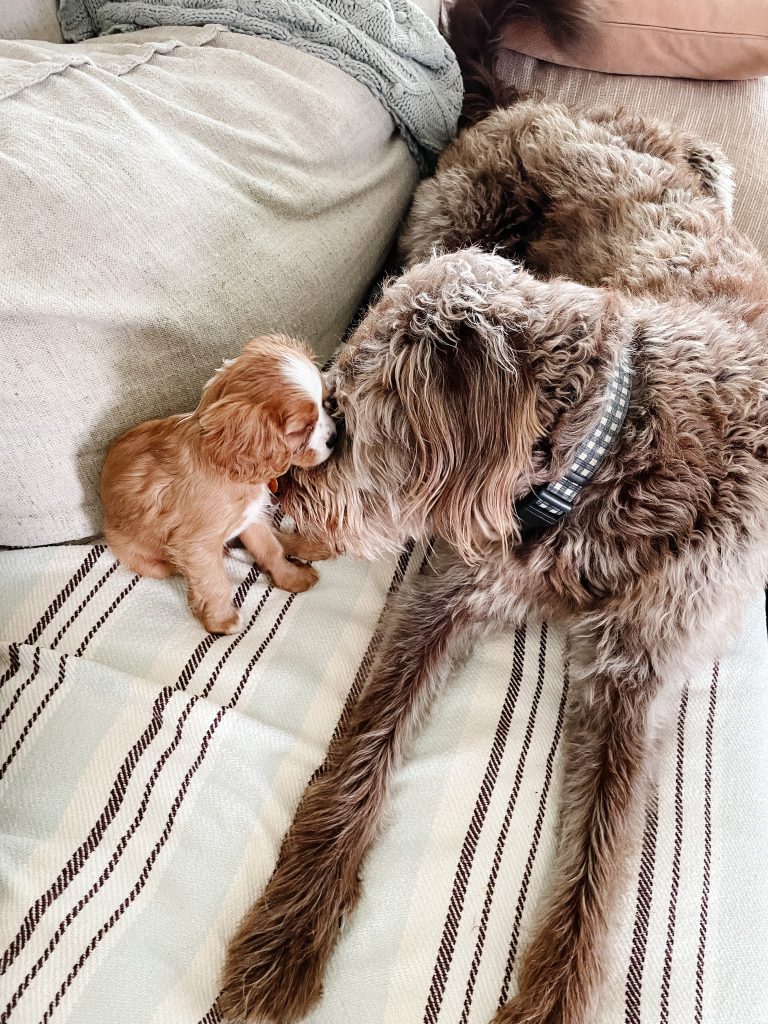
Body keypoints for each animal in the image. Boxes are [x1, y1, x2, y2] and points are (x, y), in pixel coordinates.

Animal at [99, 333, 333, 630]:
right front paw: (221, 621)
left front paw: (291, 578)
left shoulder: (251, 518)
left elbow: (270, 548)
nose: (335, 437)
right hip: (145, 560)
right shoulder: (196, 545)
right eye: (303, 428)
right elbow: (213, 580)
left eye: (326, 403)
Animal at [218, 2, 768, 1024]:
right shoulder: (449, 591)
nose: (277, 493)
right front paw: (285, 935)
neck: (605, 458)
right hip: (448, 220)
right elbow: (363, 746)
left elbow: (597, 867)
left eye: (347, 419)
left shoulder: (635, 674)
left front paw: (554, 998)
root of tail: (524, 106)